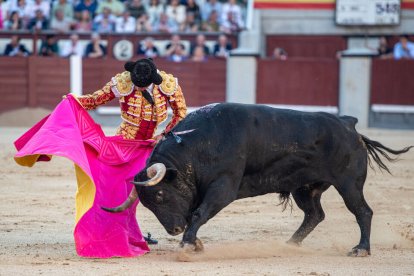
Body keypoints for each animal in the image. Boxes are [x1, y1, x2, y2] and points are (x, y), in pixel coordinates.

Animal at [102, 103, 412, 256]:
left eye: (161, 195)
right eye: (148, 205)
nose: (174, 230)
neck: (197, 144)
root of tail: (349, 125)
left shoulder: (223, 187)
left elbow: (199, 213)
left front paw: (188, 245)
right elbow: (195, 214)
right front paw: (195, 243)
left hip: (349, 183)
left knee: (363, 211)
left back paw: (361, 249)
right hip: (304, 188)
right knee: (314, 214)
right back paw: (290, 245)